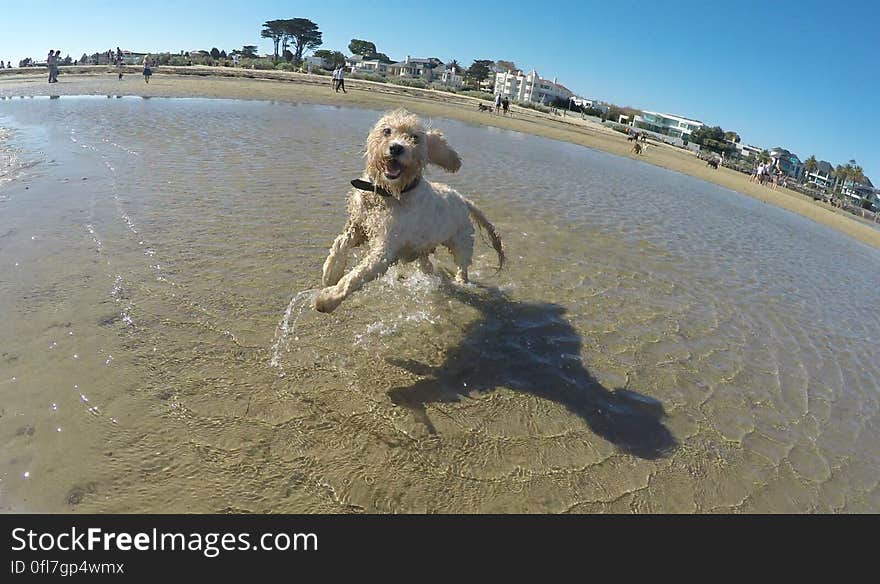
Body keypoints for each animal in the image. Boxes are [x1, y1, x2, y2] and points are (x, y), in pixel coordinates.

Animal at [312, 107, 506, 312]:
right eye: (387, 131)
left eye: (415, 138)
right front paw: (331, 273)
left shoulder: (385, 249)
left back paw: (460, 282)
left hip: (462, 244)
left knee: (463, 267)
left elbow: (355, 277)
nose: (396, 148)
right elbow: (340, 243)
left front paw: (328, 298)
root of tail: (463, 199)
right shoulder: (358, 225)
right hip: (423, 249)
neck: (388, 195)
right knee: (428, 266)